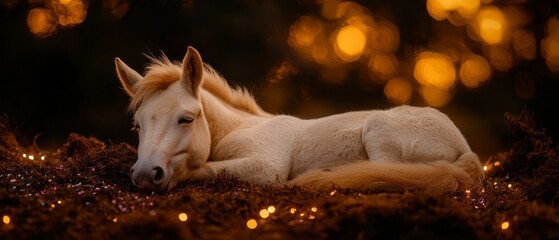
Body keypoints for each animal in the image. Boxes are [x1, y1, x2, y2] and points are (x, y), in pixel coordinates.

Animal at [116, 46, 484, 193]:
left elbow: (204, 169)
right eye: (138, 126)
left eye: (186, 118)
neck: (238, 128)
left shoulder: (266, 166)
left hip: (378, 131)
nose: (146, 174)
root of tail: (463, 146)